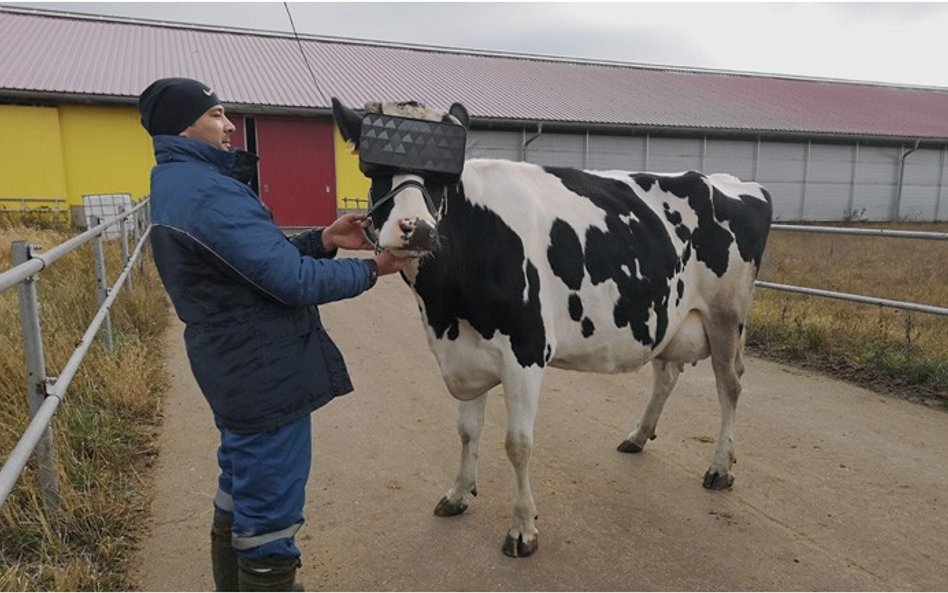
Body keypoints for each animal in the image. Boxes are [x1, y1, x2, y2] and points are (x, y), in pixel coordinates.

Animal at [332, 97, 772, 556]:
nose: (416, 228)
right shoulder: (464, 353)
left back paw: (720, 468)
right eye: (374, 172)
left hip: (727, 316)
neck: (445, 309)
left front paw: (522, 528)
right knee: (667, 374)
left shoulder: (525, 350)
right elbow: (467, 431)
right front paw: (458, 494)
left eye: (443, 178)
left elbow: (518, 444)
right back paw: (638, 436)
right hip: (667, 315)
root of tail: (734, 182)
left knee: (730, 384)